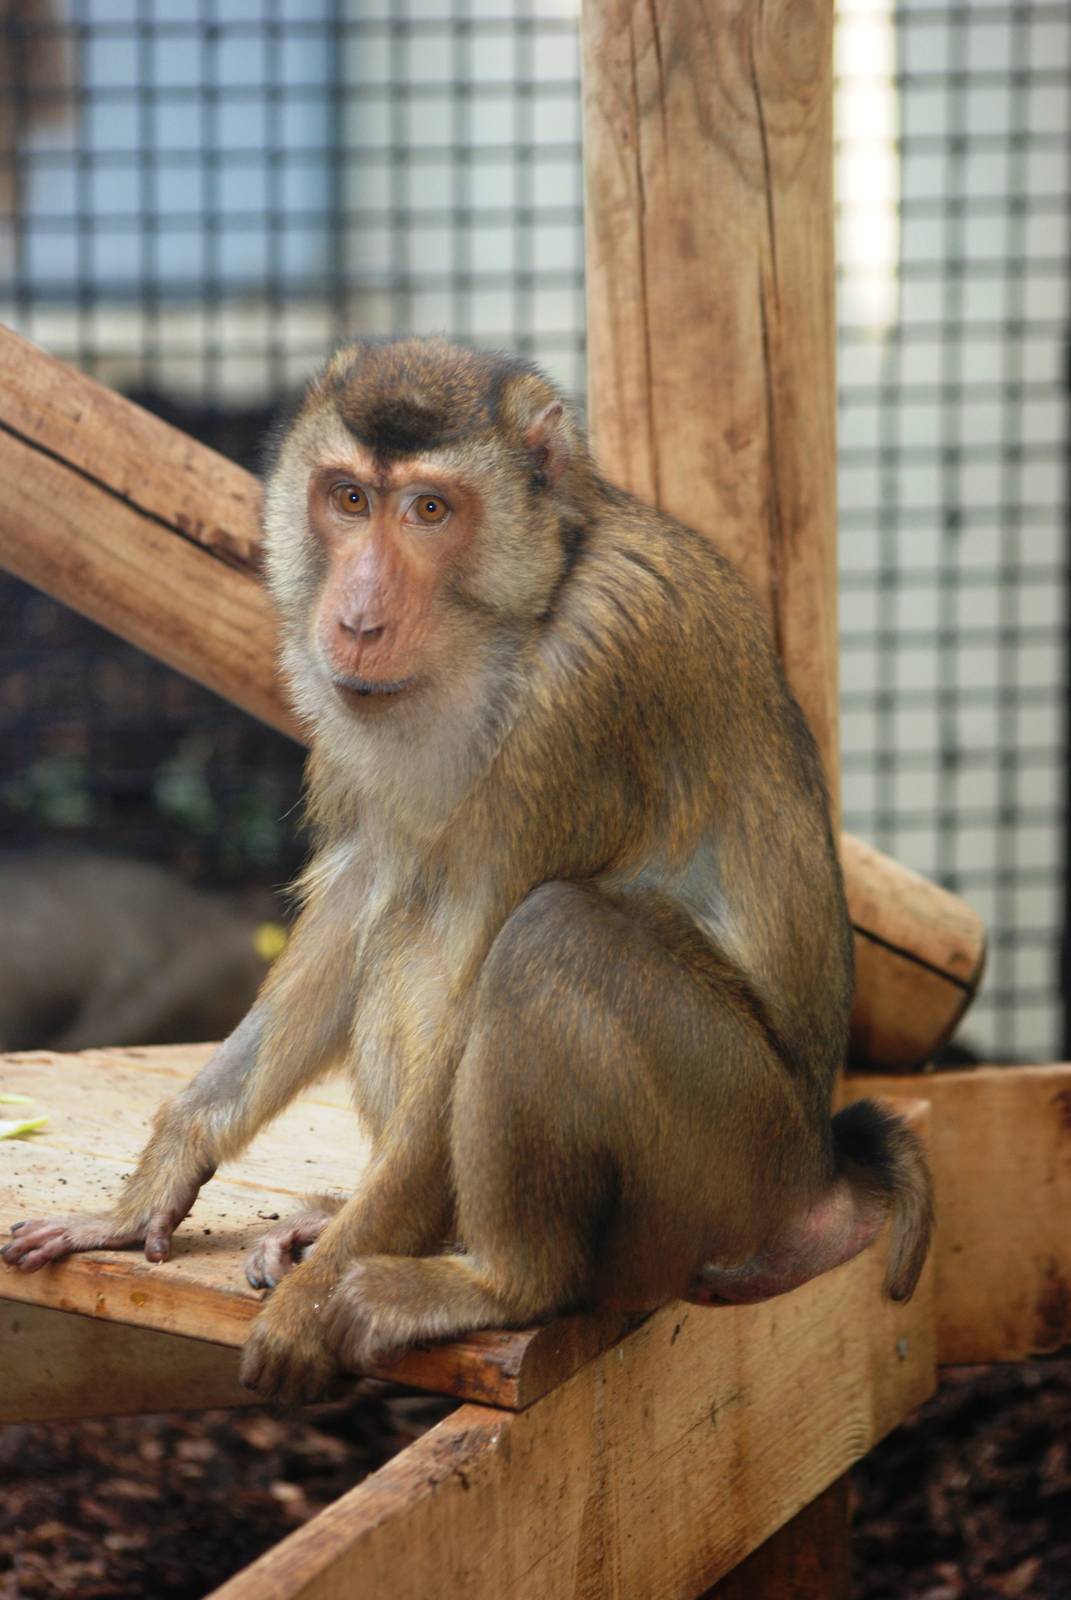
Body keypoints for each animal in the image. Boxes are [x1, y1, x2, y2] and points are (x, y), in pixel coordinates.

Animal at [3, 337, 933, 1405]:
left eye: (430, 511)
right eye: (349, 499)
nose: (358, 620)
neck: (526, 611)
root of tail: (816, 1178)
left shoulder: (590, 683)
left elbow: (477, 959)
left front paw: (311, 1307)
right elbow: (360, 894)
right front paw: (158, 1179)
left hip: (732, 1161)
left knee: (548, 937)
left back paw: (497, 1280)